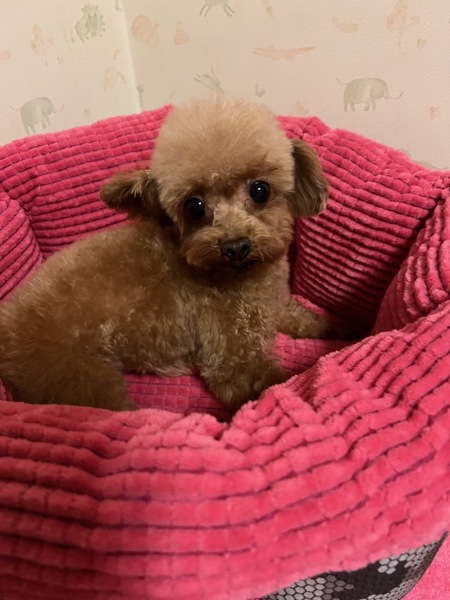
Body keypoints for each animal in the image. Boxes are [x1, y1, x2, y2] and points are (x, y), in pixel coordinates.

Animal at [0, 96, 335, 412]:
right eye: (194, 207)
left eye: (260, 190)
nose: (235, 246)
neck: (247, 281)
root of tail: (6, 322)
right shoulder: (233, 359)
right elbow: (268, 383)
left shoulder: (277, 304)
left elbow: (304, 319)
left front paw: (333, 329)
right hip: (73, 377)